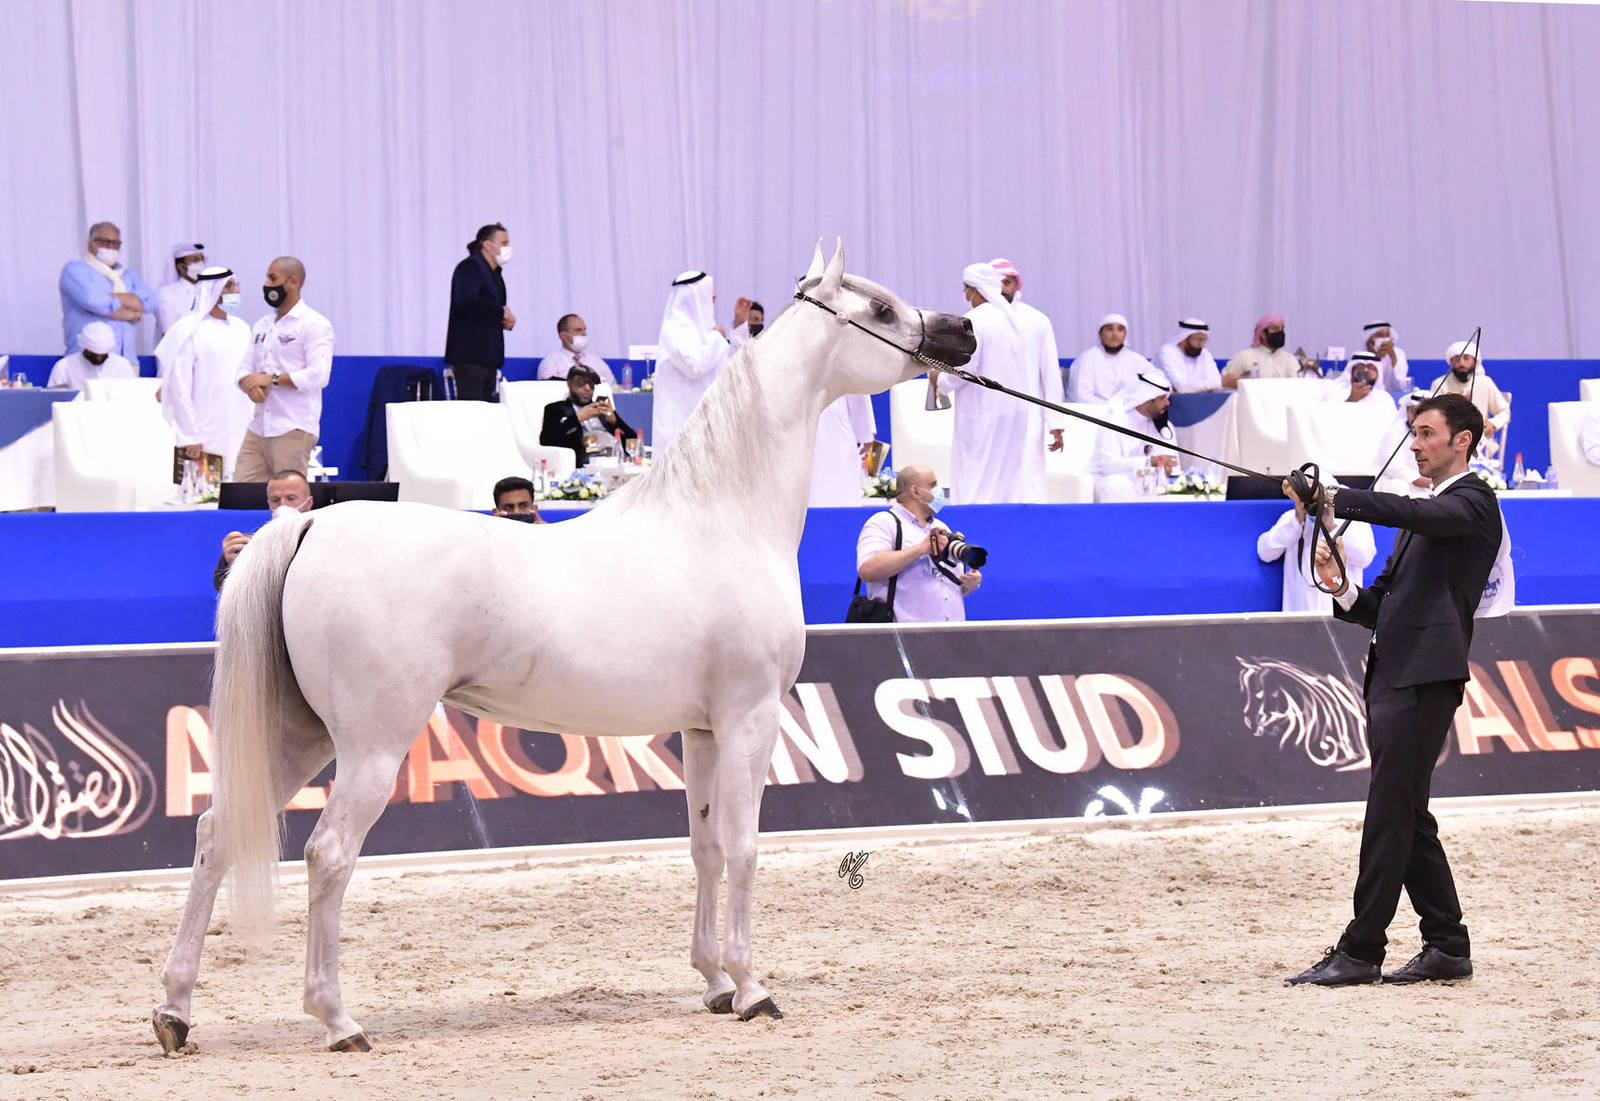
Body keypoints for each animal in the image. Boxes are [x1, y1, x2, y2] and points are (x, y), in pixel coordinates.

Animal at [151, 241, 976, 1054]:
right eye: (880, 309)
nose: (962, 331)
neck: (722, 518)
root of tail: (310, 523)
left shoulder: (703, 730)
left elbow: (705, 846)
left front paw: (713, 980)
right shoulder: (750, 718)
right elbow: (743, 846)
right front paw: (751, 988)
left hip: (299, 733)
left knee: (217, 834)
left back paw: (176, 1011)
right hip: (371, 747)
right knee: (328, 854)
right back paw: (338, 1019)